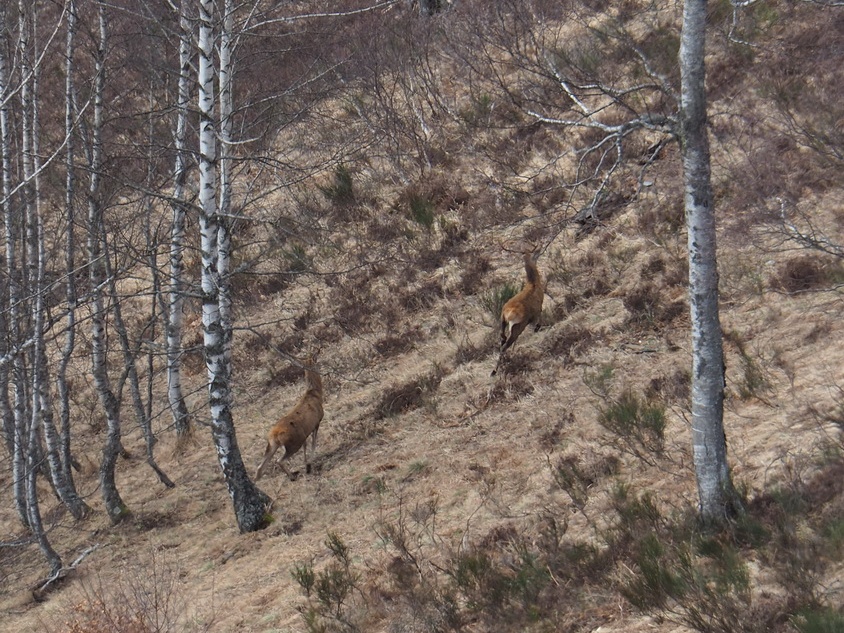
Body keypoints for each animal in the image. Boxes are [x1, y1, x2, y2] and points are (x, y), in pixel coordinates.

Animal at [254, 354, 324, 482]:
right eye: (316, 363)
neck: (316, 395)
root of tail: (275, 434)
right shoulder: (317, 422)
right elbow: (313, 444)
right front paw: (310, 463)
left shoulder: (305, 433)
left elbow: (306, 446)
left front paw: (306, 463)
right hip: (293, 443)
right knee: (279, 460)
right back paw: (291, 476)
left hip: (272, 445)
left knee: (260, 466)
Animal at [488, 248, 548, 376]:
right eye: (534, 255)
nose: (540, 251)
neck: (533, 283)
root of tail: (509, 313)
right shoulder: (538, 308)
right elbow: (539, 318)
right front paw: (537, 329)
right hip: (518, 325)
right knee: (505, 345)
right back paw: (495, 370)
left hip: (502, 320)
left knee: (502, 338)